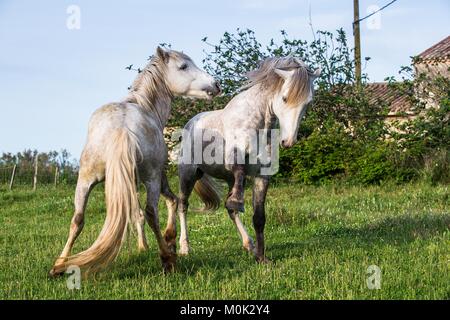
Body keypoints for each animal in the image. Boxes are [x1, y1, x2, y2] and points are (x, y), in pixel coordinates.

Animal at [50, 47, 221, 276]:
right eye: (183, 66)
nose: (216, 84)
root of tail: (122, 128)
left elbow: (135, 212)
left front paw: (143, 246)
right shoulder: (158, 178)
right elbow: (171, 202)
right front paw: (170, 241)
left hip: (85, 180)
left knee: (77, 219)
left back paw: (59, 264)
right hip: (151, 180)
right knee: (152, 212)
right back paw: (167, 259)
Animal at [174, 57, 318, 262]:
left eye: (308, 102)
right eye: (284, 98)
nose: (288, 141)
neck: (257, 125)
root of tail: (191, 123)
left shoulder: (262, 176)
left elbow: (259, 217)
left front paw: (261, 257)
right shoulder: (234, 160)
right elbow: (240, 170)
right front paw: (237, 201)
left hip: (225, 178)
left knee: (230, 211)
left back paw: (248, 244)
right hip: (188, 174)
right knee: (182, 206)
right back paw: (185, 248)